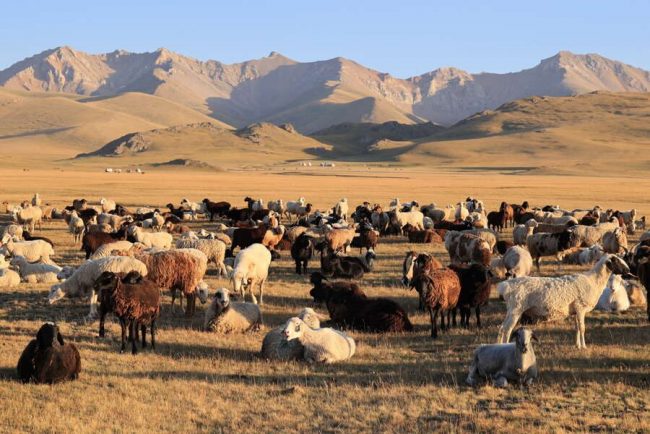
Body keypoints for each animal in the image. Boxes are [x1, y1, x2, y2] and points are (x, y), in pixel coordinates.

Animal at [497, 254, 630, 348]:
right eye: (616, 261)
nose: (628, 270)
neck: (593, 281)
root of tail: (506, 285)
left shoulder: (575, 311)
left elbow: (577, 328)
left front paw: (577, 345)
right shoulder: (580, 308)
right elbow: (582, 328)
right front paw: (584, 346)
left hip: (511, 310)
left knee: (502, 328)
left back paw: (499, 345)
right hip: (516, 309)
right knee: (507, 329)